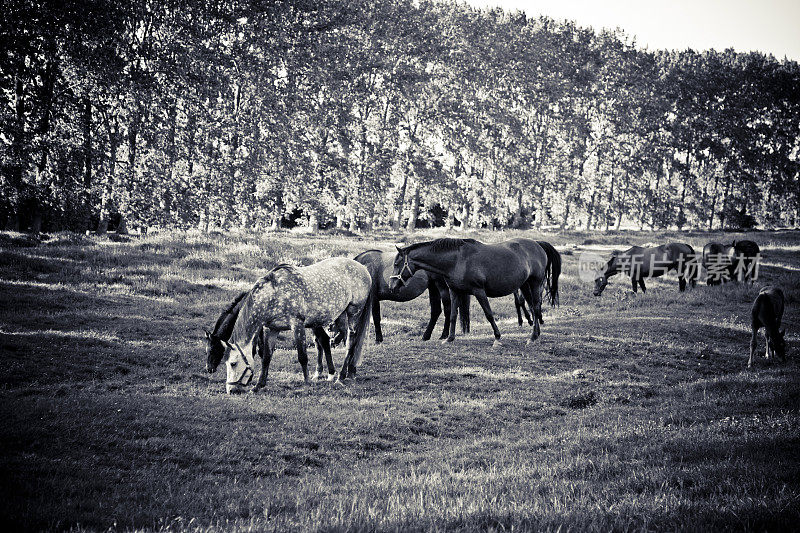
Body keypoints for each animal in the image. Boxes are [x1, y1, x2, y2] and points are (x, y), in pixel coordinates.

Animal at [208, 256, 374, 392]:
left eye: (233, 363)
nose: (231, 390)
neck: (274, 294)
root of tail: (364, 268)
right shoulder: (270, 329)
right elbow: (266, 357)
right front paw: (259, 385)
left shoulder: (297, 325)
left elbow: (302, 356)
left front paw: (307, 383)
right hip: (340, 316)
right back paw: (346, 373)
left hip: (353, 313)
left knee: (350, 343)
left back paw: (340, 377)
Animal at [390, 237, 560, 344]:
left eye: (397, 264)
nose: (391, 286)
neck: (457, 261)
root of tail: (537, 244)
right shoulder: (455, 291)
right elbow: (453, 315)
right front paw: (449, 338)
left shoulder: (479, 291)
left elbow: (489, 314)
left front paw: (497, 337)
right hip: (525, 285)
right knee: (532, 307)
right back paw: (536, 334)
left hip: (535, 283)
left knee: (536, 307)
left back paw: (532, 337)